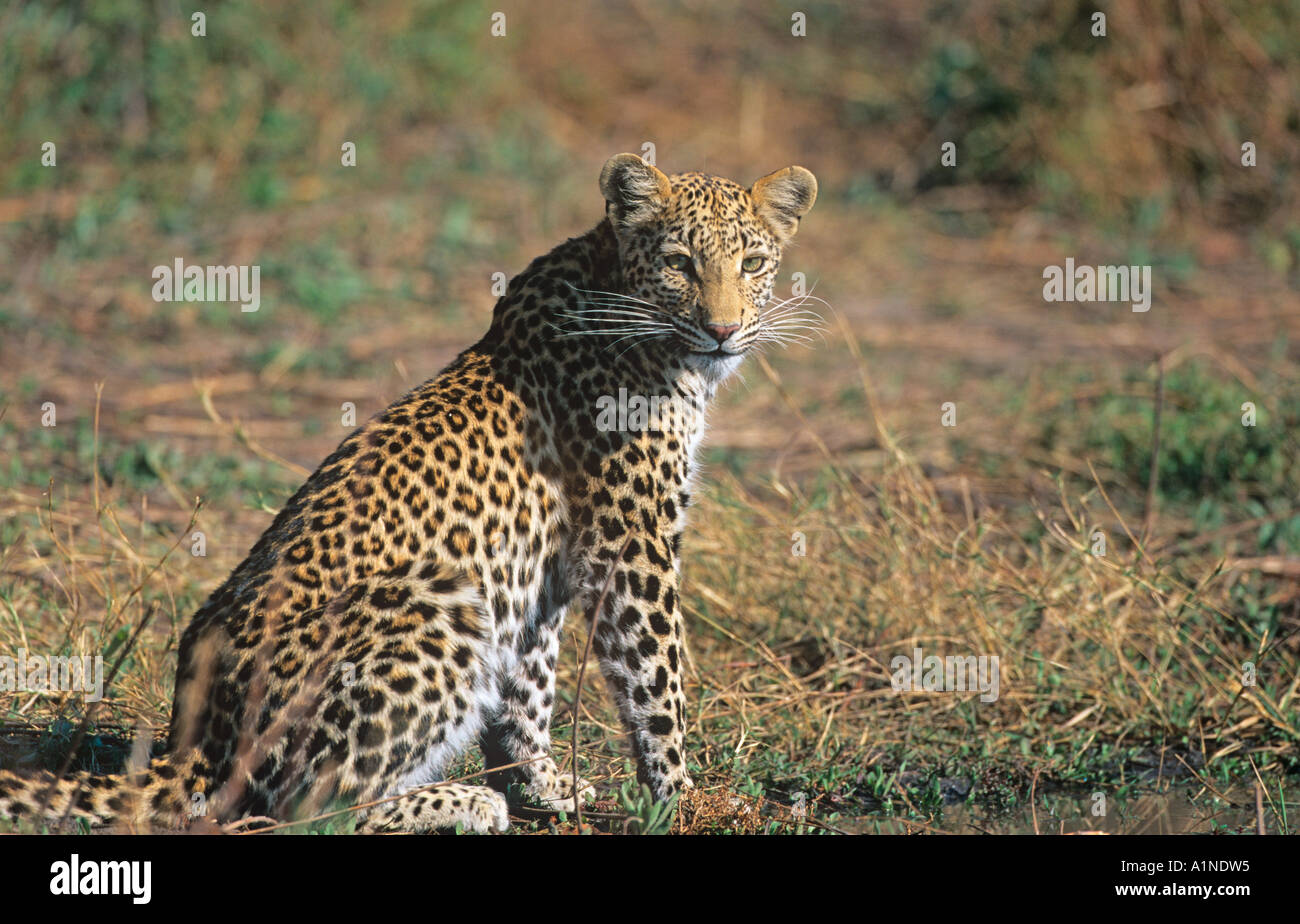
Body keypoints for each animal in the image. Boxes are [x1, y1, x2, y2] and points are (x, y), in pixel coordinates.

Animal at [0, 153, 818, 833]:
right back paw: (463, 803)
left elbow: (528, 693)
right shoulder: (632, 543)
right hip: (433, 597)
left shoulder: (540, 574)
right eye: (680, 263)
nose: (724, 329)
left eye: (752, 263)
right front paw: (687, 799)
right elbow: (656, 678)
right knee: (304, 811)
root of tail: (190, 739)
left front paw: (546, 789)